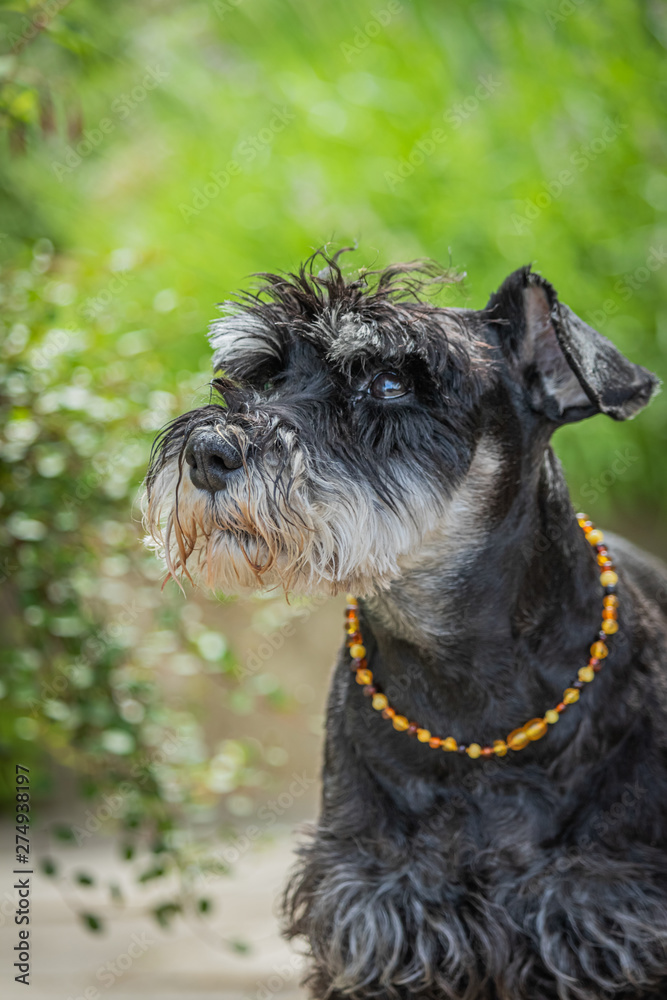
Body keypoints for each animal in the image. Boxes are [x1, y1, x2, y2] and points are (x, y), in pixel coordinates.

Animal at [146, 254, 667, 1000]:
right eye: (260, 375)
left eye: (390, 383)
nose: (208, 453)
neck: (464, 692)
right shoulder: (377, 913)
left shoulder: (601, 911)